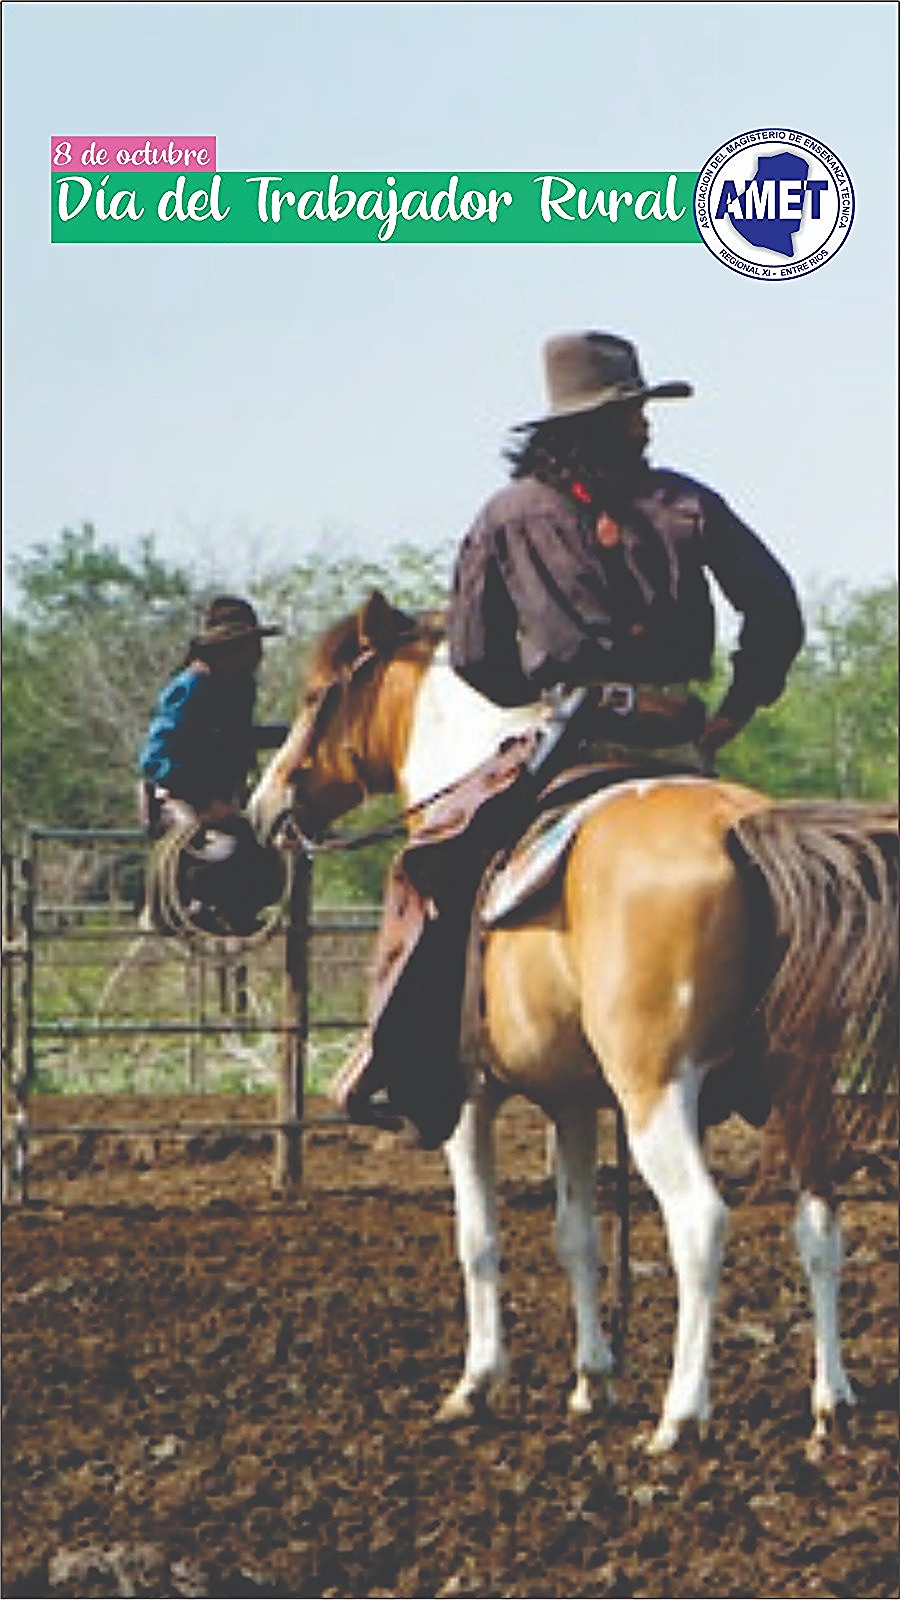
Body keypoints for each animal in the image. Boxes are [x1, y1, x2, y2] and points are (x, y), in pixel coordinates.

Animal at [246, 595, 896, 1459]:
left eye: (318, 695)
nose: (266, 806)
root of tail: (744, 831)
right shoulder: (574, 1102)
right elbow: (575, 1234)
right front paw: (593, 1381)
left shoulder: (471, 1098)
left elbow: (480, 1239)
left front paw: (476, 1384)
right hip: (803, 1084)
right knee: (819, 1220)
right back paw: (832, 1402)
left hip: (657, 1092)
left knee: (701, 1223)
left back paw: (681, 1416)